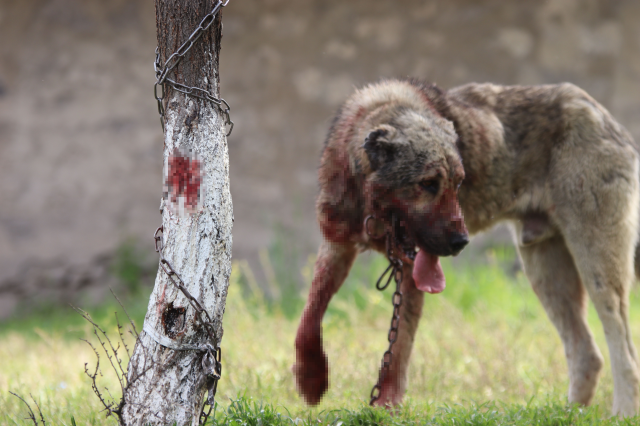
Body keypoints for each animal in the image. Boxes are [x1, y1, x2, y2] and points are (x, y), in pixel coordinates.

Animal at [294, 79, 640, 416]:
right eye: (427, 184)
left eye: (458, 183)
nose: (461, 242)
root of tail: (604, 116)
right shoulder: (336, 248)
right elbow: (309, 317)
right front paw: (311, 378)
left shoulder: (410, 275)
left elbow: (398, 351)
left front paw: (385, 410)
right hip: (546, 272)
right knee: (588, 354)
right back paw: (570, 413)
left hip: (596, 266)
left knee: (624, 351)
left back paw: (622, 413)